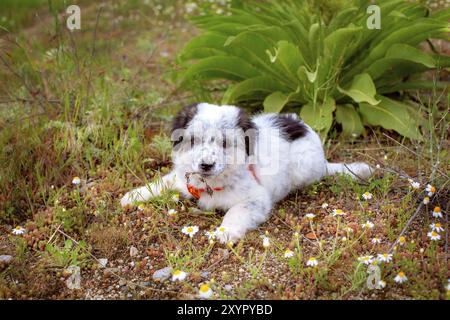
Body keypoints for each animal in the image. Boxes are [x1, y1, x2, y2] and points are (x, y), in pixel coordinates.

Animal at [120, 103, 372, 242]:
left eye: (224, 143)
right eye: (194, 140)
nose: (206, 165)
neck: (210, 183)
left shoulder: (257, 198)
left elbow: (237, 211)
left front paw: (226, 231)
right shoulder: (183, 178)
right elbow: (160, 182)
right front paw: (132, 196)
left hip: (304, 169)